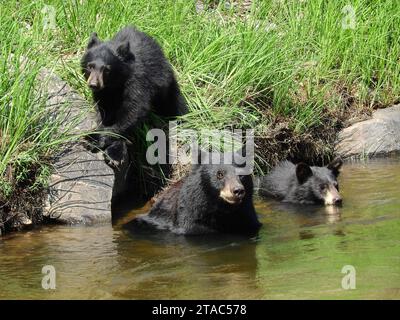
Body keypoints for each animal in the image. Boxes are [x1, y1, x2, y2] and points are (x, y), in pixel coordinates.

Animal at [82, 26, 188, 166]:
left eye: (107, 69)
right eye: (90, 66)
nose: (94, 84)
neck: (115, 83)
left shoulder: (137, 80)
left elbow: (133, 110)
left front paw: (96, 142)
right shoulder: (104, 93)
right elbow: (104, 110)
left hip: (166, 85)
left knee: (175, 105)